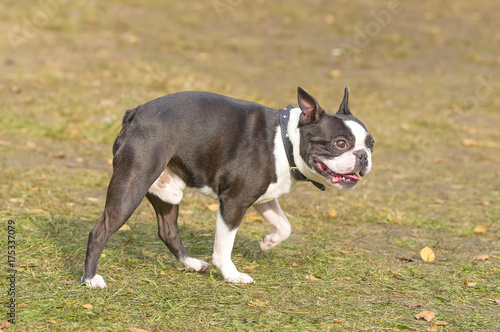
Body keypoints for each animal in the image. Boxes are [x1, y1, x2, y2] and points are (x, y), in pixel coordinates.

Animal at [81, 87, 372, 286]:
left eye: (371, 144)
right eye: (340, 143)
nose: (363, 156)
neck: (285, 140)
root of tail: (134, 114)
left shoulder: (264, 197)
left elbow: (285, 226)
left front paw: (268, 243)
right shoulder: (234, 202)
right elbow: (224, 245)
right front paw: (232, 275)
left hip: (168, 191)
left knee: (167, 231)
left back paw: (191, 263)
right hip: (132, 184)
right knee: (100, 231)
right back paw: (90, 279)